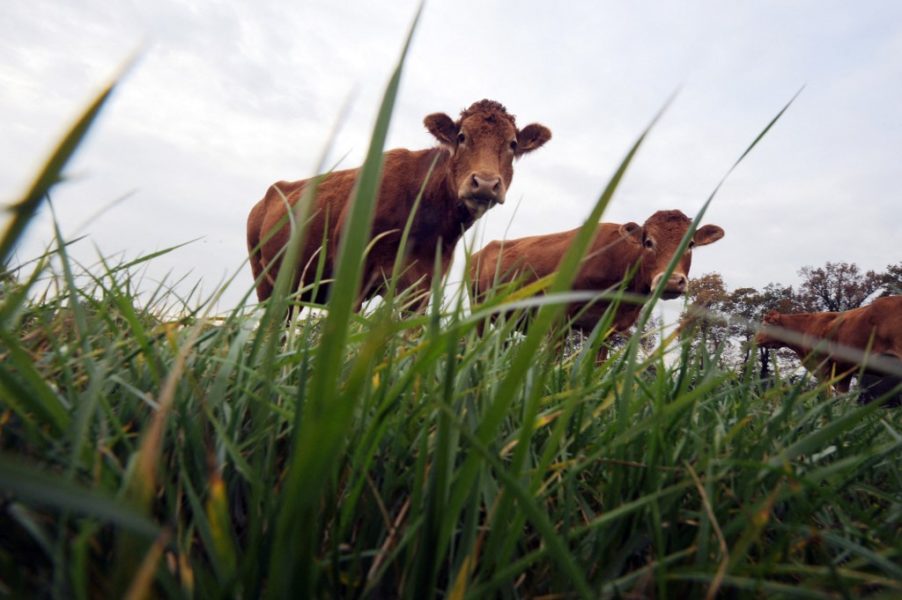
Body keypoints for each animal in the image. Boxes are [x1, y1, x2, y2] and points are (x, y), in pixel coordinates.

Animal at [245, 99, 552, 310]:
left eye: (512, 144)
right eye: (462, 137)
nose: (486, 183)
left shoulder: (421, 290)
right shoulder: (353, 278)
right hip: (266, 284)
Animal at [756, 296, 902, 406]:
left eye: (765, 325)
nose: (754, 339)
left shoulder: (822, 368)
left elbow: (825, 397)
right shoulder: (843, 371)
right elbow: (841, 398)